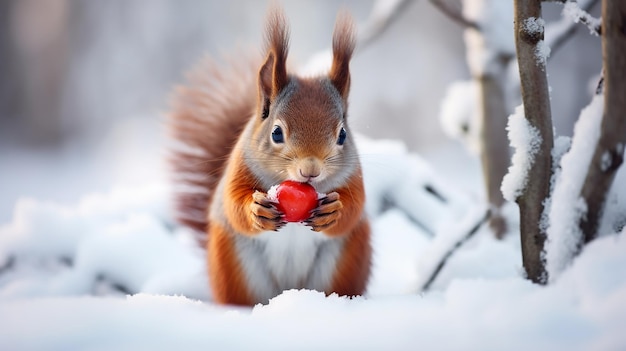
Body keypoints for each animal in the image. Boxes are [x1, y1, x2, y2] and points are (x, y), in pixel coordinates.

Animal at [167, 6, 370, 308]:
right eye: (276, 133)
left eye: (343, 135)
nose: (310, 170)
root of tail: (287, 291)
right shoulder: (239, 167)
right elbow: (233, 203)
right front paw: (256, 210)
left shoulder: (354, 175)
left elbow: (355, 205)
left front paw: (335, 210)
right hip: (236, 266)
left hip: (345, 263)